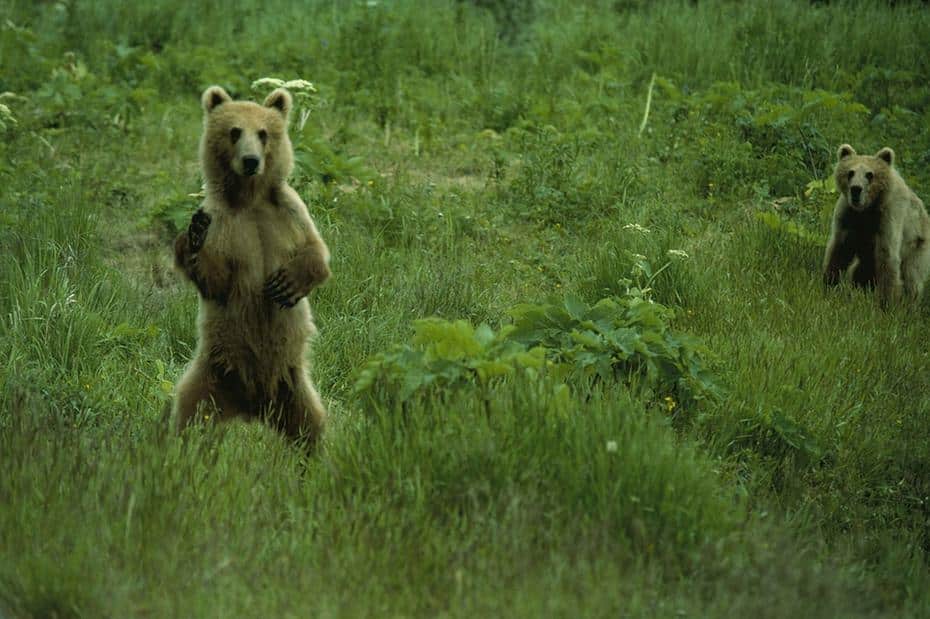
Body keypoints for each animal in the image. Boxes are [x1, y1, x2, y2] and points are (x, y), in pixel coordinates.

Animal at [171, 85, 331, 448]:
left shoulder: (288, 211)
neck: (250, 199)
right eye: (234, 132)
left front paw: (286, 283)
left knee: (310, 425)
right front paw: (194, 236)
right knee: (189, 413)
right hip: (213, 374)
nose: (250, 161)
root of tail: (254, 407)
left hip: (293, 383)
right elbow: (216, 279)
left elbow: (316, 252)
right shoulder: (223, 223)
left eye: (263, 133)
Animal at [823, 143, 930, 306]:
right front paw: (828, 285)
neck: (866, 210)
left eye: (869, 174)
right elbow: (839, 250)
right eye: (850, 172)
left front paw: (886, 303)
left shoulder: (888, 217)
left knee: (912, 277)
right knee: (860, 271)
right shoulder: (847, 215)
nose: (856, 189)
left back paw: (909, 304)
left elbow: (887, 257)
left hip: (916, 246)